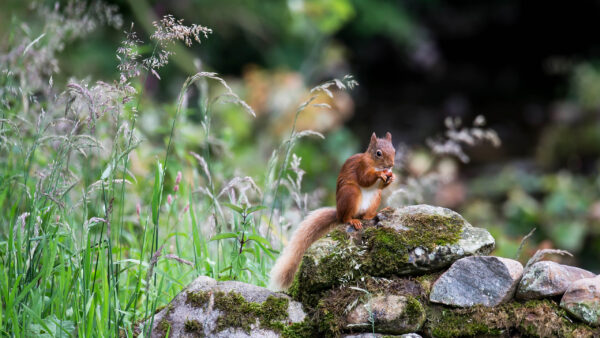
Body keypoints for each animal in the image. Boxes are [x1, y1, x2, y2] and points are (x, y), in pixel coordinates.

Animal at [270, 132, 396, 290]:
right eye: (378, 153)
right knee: (346, 218)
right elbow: (365, 178)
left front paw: (392, 177)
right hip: (350, 193)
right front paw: (380, 175)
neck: (375, 164)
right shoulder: (361, 166)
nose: (390, 165)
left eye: (394, 150)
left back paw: (374, 214)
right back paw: (353, 221)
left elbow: (381, 186)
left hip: (375, 198)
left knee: (366, 215)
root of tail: (338, 213)